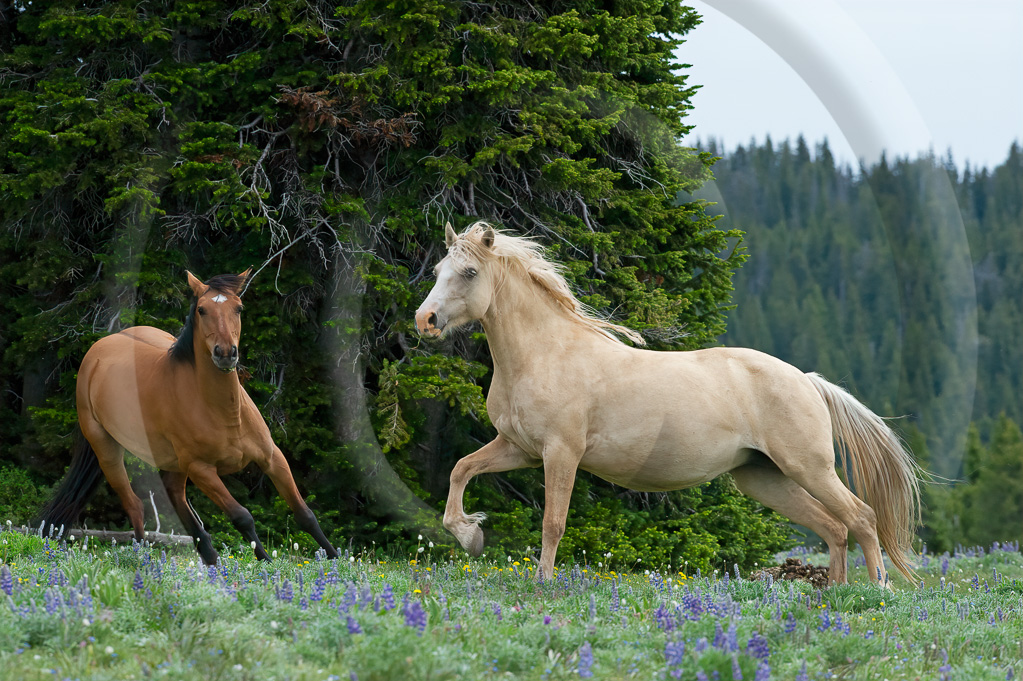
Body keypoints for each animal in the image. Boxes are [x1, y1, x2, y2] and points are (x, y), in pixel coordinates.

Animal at [39, 269, 337, 560]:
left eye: (239, 308)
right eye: (202, 310)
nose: (225, 353)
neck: (225, 414)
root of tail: (98, 351)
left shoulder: (272, 457)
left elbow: (305, 514)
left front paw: (335, 559)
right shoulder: (202, 470)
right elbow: (242, 516)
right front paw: (266, 563)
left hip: (172, 463)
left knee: (174, 496)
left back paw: (209, 556)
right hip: (107, 450)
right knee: (135, 504)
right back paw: (146, 558)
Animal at [411, 222, 924, 584]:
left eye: (469, 272)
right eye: (437, 272)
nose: (425, 320)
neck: (544, 353)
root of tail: (808, 381)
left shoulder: (561, 453)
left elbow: (553, 523)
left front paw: (543, 582)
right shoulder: (519, 448)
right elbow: (460, 469)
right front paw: (471, 535)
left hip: (809, 467)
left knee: (860, 518)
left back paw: (877, 592)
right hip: (763, 477)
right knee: (833, 527)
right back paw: (834, 593)